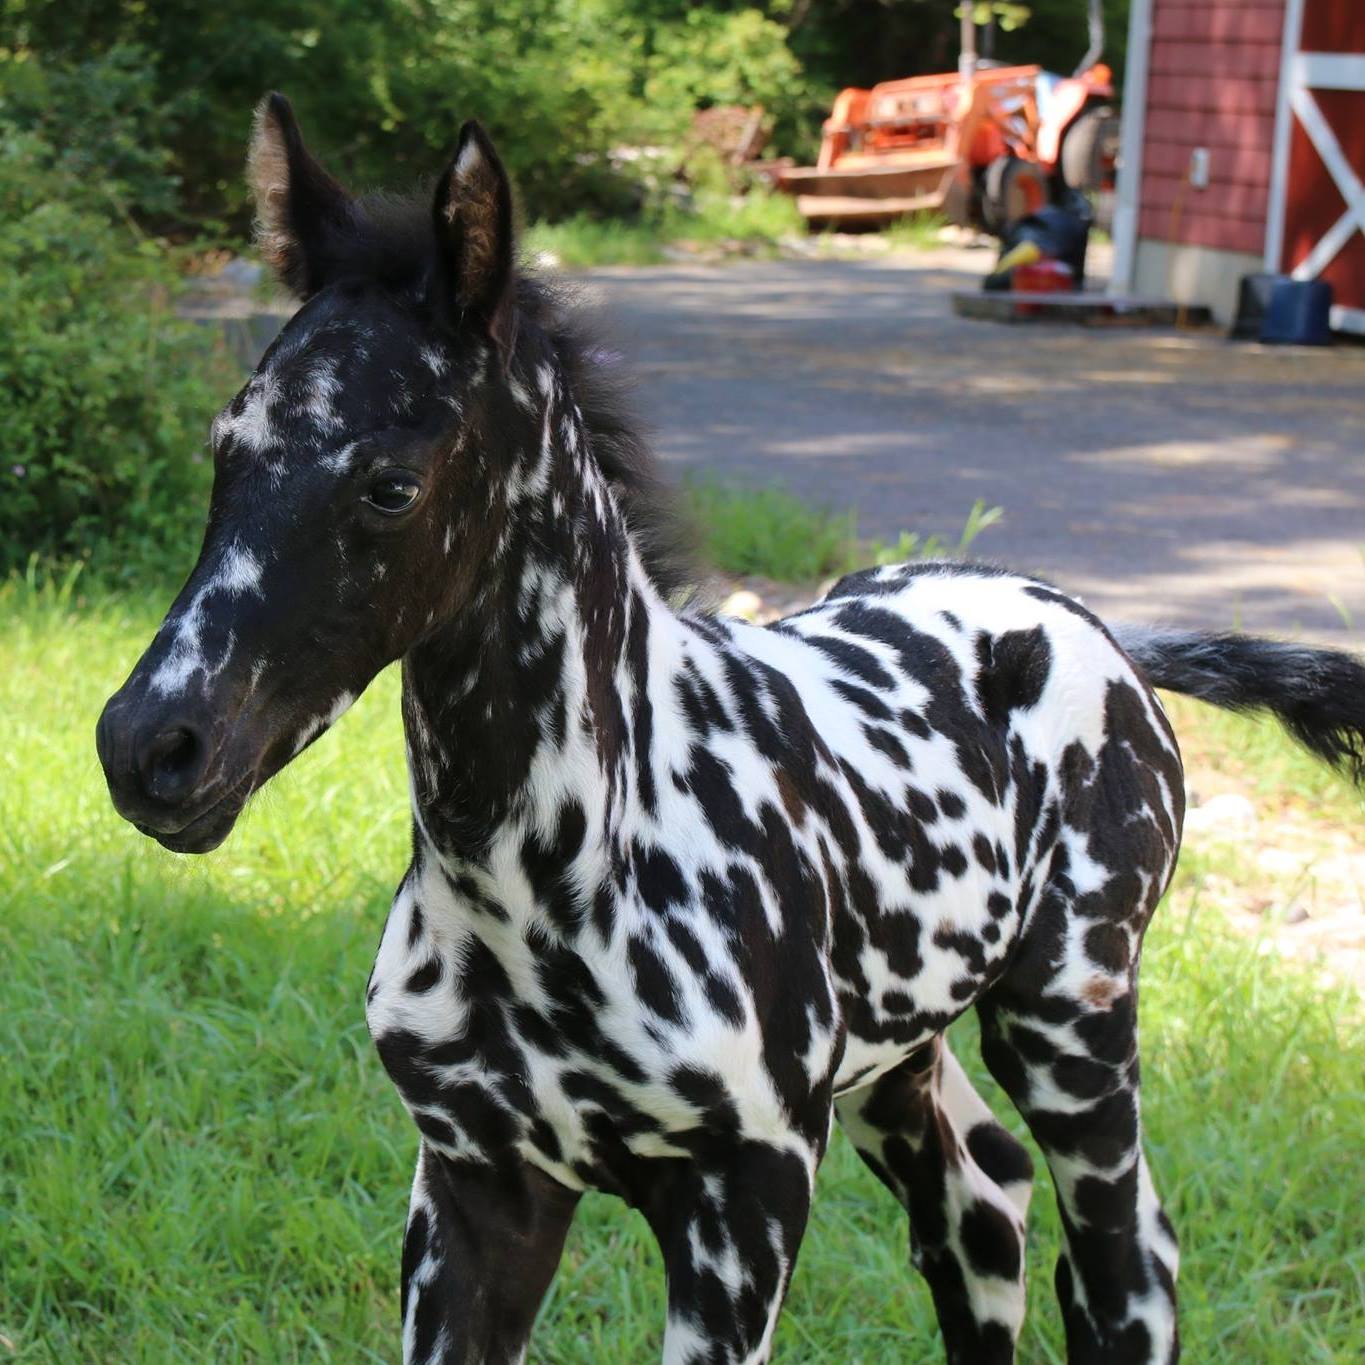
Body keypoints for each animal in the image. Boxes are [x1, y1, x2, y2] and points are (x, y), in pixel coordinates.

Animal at [98, 93, 1365, 1354]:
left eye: (389, 485)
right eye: (224, 450)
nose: (150, 745)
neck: (557, 880)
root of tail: (1104, 634)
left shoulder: (744, 1200)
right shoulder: (475, 1187)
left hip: (1071, 1031)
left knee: (1126, 1264)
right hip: (900, 1060)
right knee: (982, 1208)